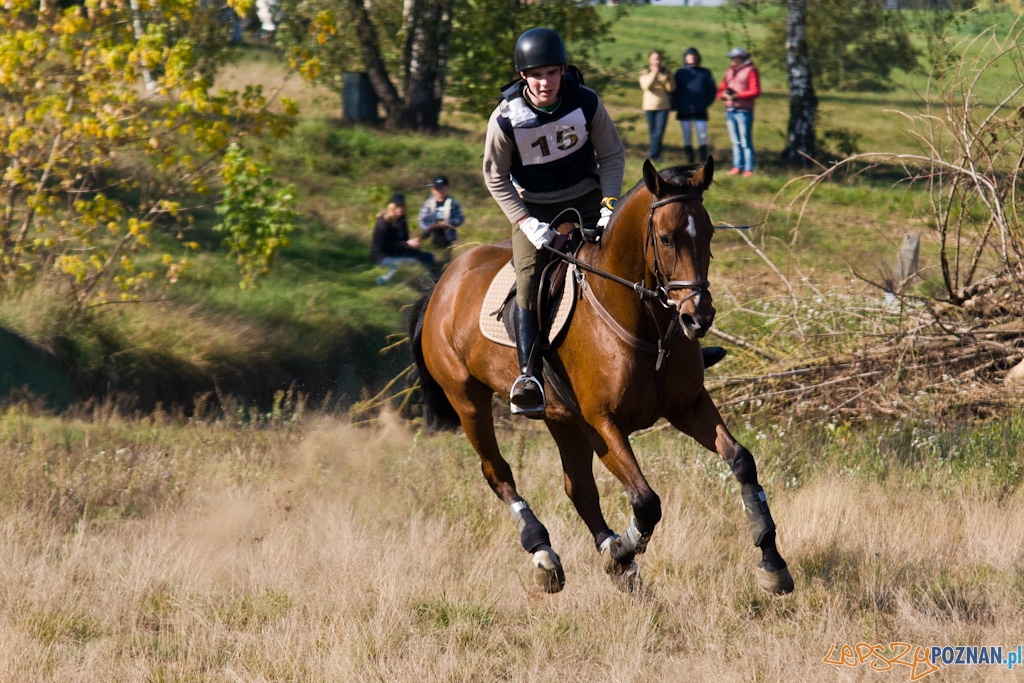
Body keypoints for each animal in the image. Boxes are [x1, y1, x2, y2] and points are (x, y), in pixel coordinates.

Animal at [407, 158, 790, 593]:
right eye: (665, 238)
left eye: (708, 233)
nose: (698, 317)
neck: (647, 325)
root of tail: (442, 283)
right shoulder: (602, 423)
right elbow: (646, 501)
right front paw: (623, 550)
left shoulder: (687, 405)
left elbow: (741, 460)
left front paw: (772, 561)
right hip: (468, 400)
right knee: (499, 472)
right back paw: (544, 552)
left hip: (561, 418)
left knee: (579, 488)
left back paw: (607, 555)